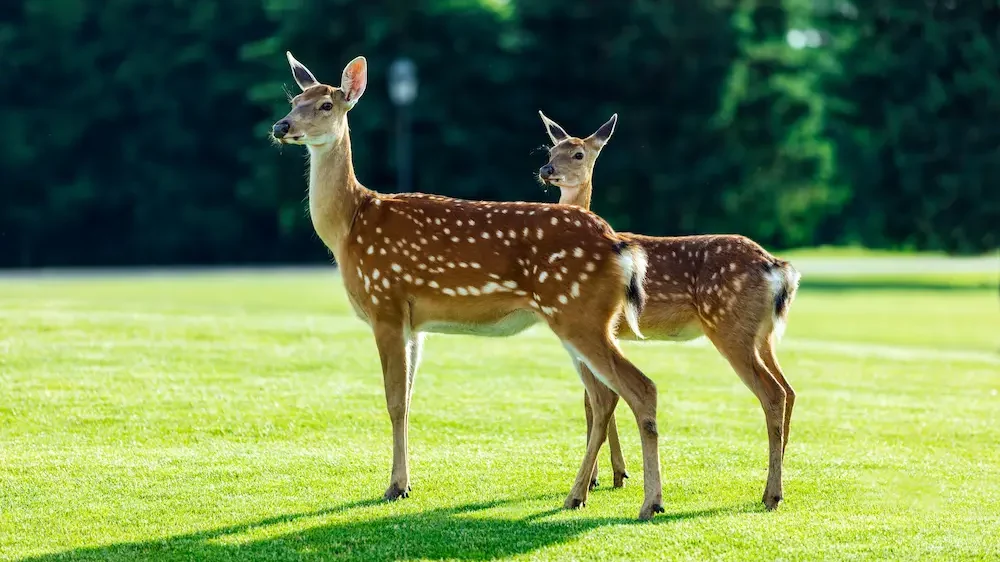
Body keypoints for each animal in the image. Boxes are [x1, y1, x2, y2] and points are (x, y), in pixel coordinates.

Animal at [270, 54, 668, 520]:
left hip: (579, 312)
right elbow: (408, 400)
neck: (348, 226)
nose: (281, 126)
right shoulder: (413, 322)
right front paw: (407, 482)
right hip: (583, 317)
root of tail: (619, 244)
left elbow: (393, 401)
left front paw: (395, 487)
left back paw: (647, 502)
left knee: (637, 388)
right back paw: (584, 494)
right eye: (294, 100)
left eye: (326, 105)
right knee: (606, 396)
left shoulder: (385, 301)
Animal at [536, 109, 800, 508]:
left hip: (730, 326)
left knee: (774, 393)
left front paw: (597, 479)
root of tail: (778, 267)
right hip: (764, 334)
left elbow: (594, 402)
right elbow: (599, 400)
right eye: (552, 148)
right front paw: (612, 475)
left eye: (578, 154)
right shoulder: (611, 331)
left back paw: (771, 494)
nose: (547, 169)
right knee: (789, 389)